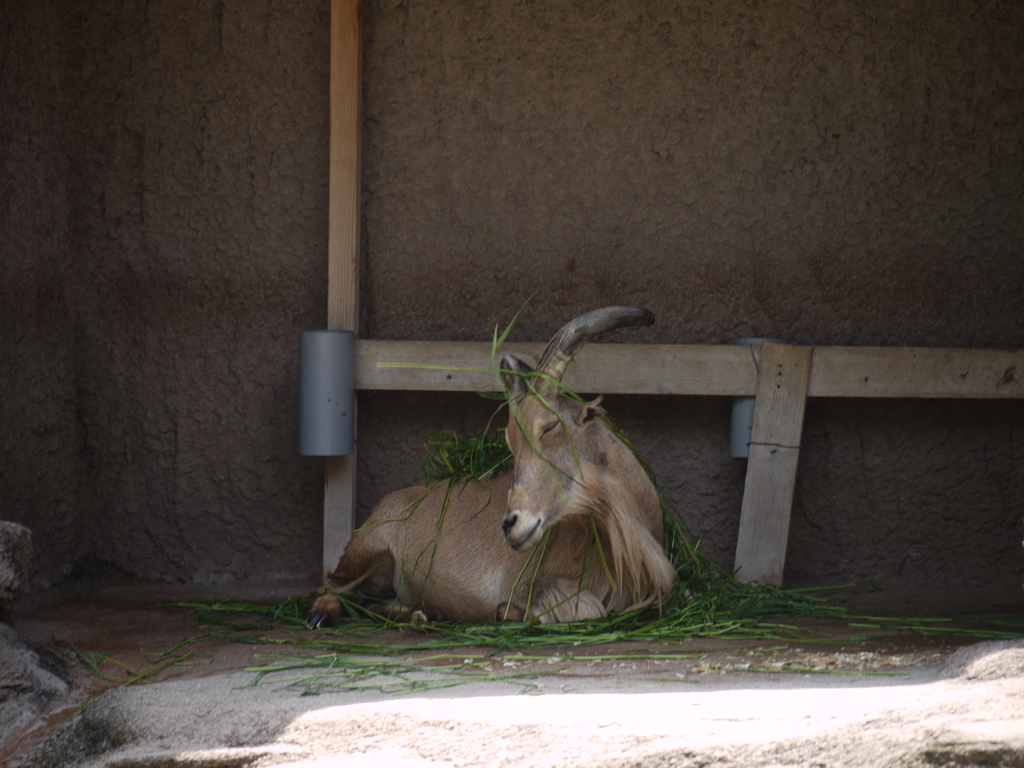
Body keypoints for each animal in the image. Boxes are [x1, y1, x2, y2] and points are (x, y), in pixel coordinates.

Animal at [305, 309, 671, 626]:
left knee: (372, 601)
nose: (511, 525)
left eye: (550, 426)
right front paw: (503, 612)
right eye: (510, 441)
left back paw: (425, 613)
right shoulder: (530, 586)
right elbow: (584, 609)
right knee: (328, 586)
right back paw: (321, 615)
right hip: (365, 547)